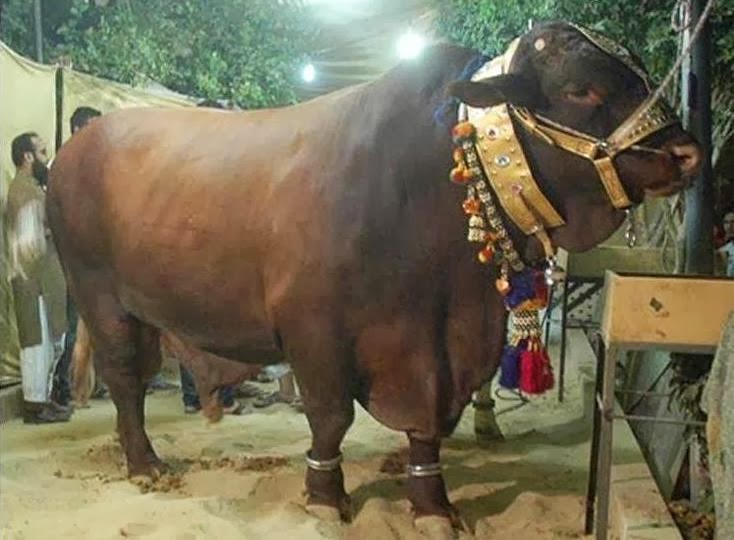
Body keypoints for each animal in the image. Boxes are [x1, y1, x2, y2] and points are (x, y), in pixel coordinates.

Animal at [47, 22, 700, 534]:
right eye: (580, 89)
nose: (689, 153)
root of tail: (77, 146)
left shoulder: (442, 346)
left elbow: (429, 429)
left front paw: (432, 505)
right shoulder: (314, 332)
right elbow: (331, 417)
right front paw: (324, 497)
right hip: (99, 298)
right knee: (125, 379)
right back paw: (144, 464)